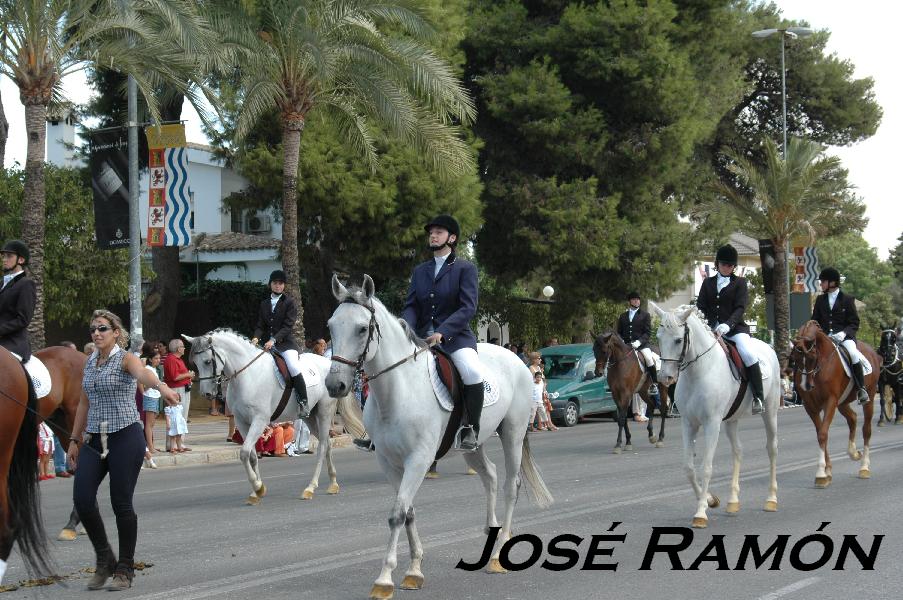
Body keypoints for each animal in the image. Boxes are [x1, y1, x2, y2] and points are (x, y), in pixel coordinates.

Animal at [185, 330, 366, 504]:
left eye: (207, 361)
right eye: (195, 363)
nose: (206, 394)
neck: (248, 375)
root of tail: (329, 363)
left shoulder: (259, 420)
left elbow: (244, 453)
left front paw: (257, 486)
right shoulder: (241, 422)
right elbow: (251, 455)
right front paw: (256, 492)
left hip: (324, 412)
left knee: (322, 447)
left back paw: (310, 488)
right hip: (309, 416)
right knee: (327, 443)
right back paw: (333, 484)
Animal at [324, 276, 552, 600]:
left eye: (362, 329)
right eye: (331, 326)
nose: (335, 385)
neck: (398, 390)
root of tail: (515, 358)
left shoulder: (418, 460)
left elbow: (397, 514)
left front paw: (384, 579)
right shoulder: (389, 462)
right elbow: (407, 512)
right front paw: (413, 571)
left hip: (513, 433)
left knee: (511, 484)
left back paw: (498, 555)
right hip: (473, 444)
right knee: (491, 475)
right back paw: (491, 533)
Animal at [652, 302, 780, 528]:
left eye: (678, 340)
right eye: (658, 337)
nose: (665, 377)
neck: (698, 371)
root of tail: (768, 347)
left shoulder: (711, 424)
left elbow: (706, 467)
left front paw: (701, 513)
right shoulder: (689, 423)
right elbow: (688, 467)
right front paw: (711, 500)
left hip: (770, 411)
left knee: (771, 448)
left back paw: (771, 499)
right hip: (731, 420)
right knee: (738, 451)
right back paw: (733, 502)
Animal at [796, 322, 880, 486]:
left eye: (812, 355)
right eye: (794, 357)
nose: (805, 386)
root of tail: (872, 351)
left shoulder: (830, 401)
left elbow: (823, 434)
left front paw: (821, 474)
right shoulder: (810, 406)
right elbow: (820, 433)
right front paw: (827, 471)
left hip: (870, 397)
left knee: (866, 430)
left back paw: (864, 467)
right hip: (842, 403)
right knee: (853, 418)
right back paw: (853, 453)